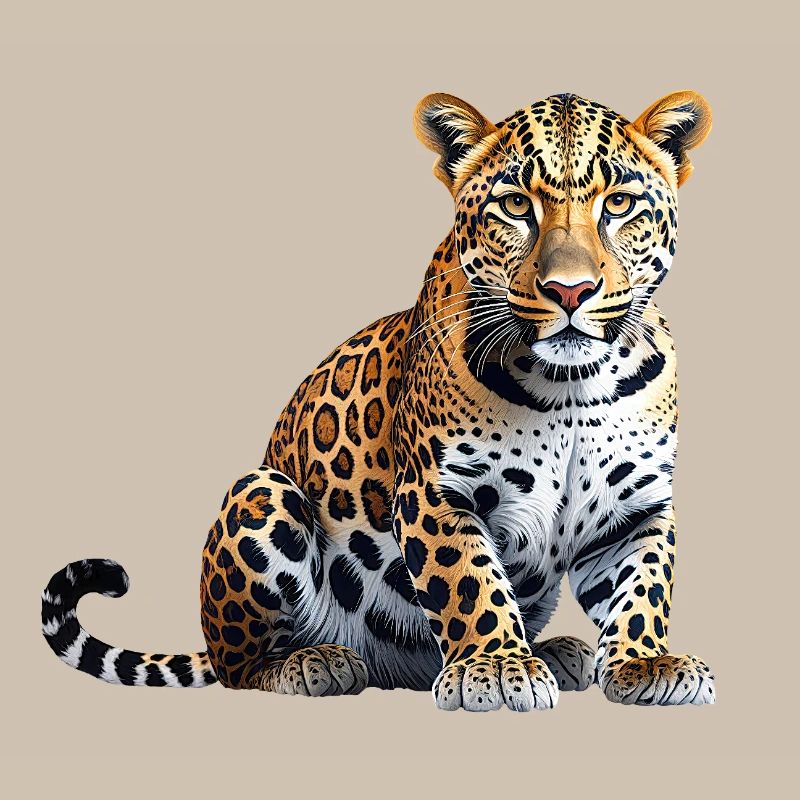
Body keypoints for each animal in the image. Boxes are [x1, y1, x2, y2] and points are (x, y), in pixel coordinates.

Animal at [43, 90, 716, 711]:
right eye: (516, 205)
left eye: (619, 204)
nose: (570, 290)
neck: (573, 383)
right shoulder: (437, 492)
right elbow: (469, 581)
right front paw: (496, 668)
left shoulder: (638, 507)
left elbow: (643, 589)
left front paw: (645, 665)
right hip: (263, 494)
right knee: (240, 666)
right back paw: (314, 663)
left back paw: (556, 652)